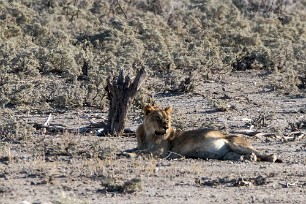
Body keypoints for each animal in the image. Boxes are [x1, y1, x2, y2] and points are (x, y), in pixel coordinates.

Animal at [123, 105, 282, 163]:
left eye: (167, 119)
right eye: (157, 117)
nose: (166, 127)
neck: (149, 134)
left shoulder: (162, 151)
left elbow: (142, 152)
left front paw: (128, 155)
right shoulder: (142, 145)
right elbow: (136, 149)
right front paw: (124, 151)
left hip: (235, 143)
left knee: (262, 153)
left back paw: (270, 157)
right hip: (228, 154)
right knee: (241, 156)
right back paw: (249, 158)